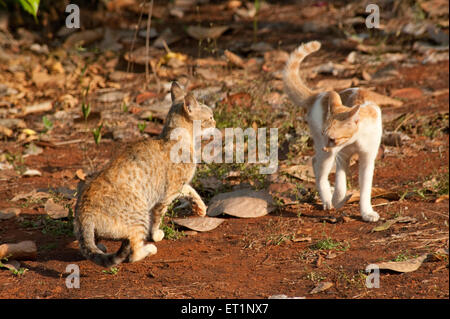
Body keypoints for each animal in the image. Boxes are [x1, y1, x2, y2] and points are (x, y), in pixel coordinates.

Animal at [74, 82, 216, 268]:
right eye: (210, 117)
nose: (216, 121)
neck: (175, 138)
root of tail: (84, 212)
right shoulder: (166, 195)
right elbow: (157, 219)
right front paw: (156, 236)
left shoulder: (178, 187)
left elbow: (192, 191)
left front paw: (200, 208)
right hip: (139, 214)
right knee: (133, 253)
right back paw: (148, 249)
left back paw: (101, 247)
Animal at [284, 41, 382, 222]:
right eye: (326, 136)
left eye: (333, 139)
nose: (325, 146)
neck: (357, 140)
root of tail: (318, 95)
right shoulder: (341, 156)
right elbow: (341, 186)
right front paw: (339, 199)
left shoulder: (367, 158)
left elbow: (365, 188)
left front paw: (367, 212)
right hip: (327, 156)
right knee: (317, 165)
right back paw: (328, 199)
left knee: (316, 163)